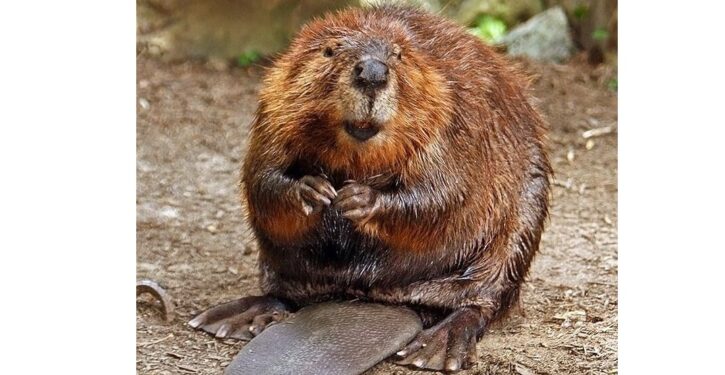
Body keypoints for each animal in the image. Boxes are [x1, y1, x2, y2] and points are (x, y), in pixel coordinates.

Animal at [189, 4, 552, 374]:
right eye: (329, 50)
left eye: (399, 54)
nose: (373, 73)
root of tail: (380, 298)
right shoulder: (274, 105)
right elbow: (262, 176)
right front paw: (314, 190)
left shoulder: (455, 113)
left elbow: (445, 193)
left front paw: (357, 199)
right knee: (285, 294)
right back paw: (230, 317)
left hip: (521, 224)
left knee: (481, 302)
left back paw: (435, 347)